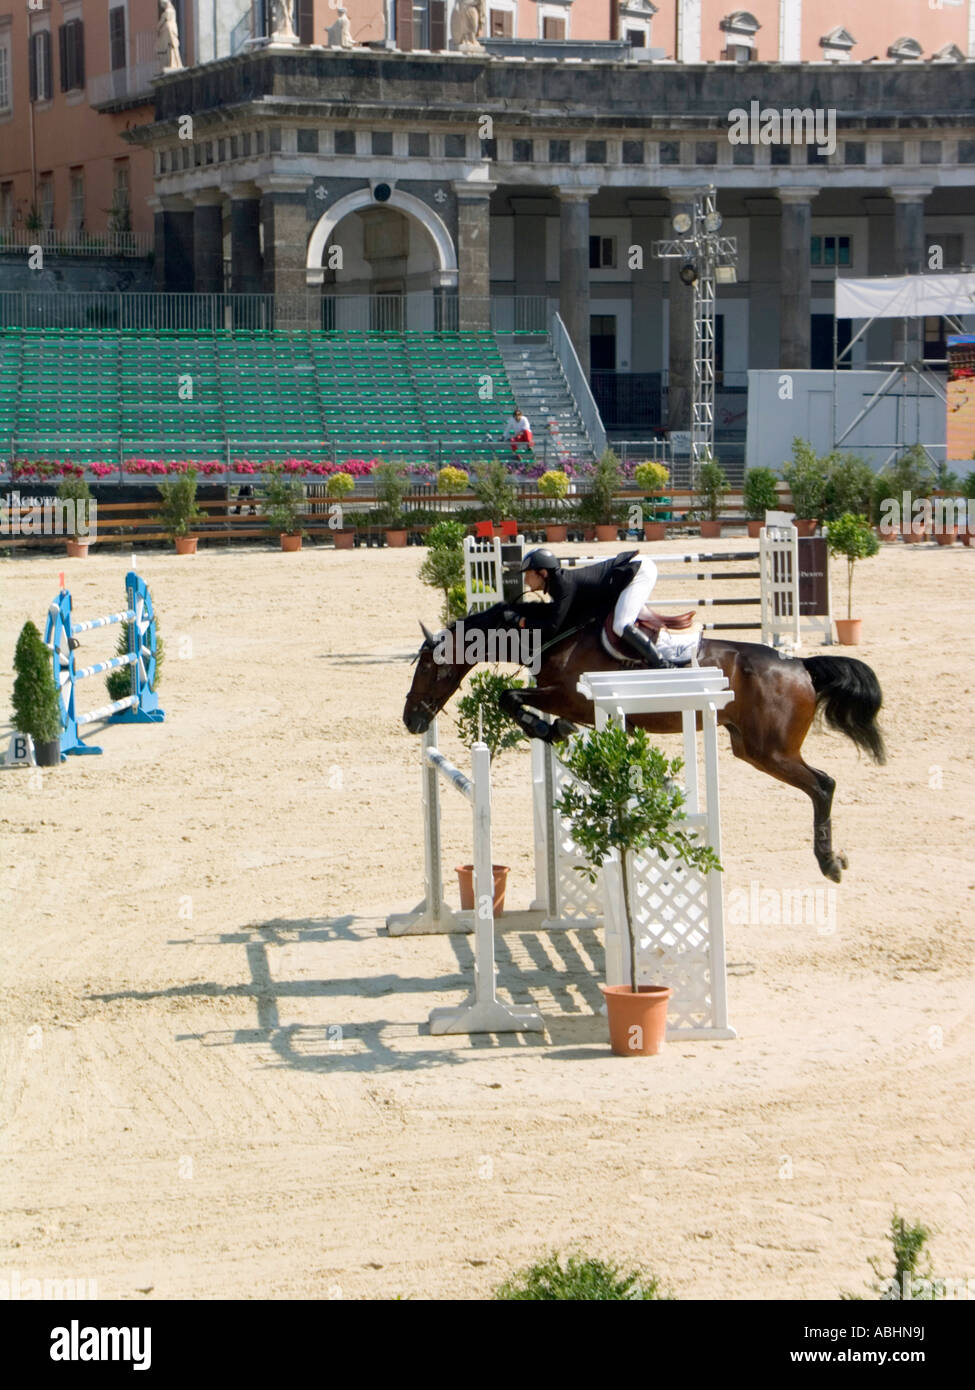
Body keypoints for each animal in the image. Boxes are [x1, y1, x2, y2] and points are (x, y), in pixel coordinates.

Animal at [400, 603, 884, 884]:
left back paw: (829, 862)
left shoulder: (571, 697)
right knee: (820, 784)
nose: (411, 719)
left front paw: (549, 730)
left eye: (427, 667)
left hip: (772, 751)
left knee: (823, 785)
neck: (555, 633)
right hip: (752, 747)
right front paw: (554, 730)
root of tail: (800, 666)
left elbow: (510, 697)